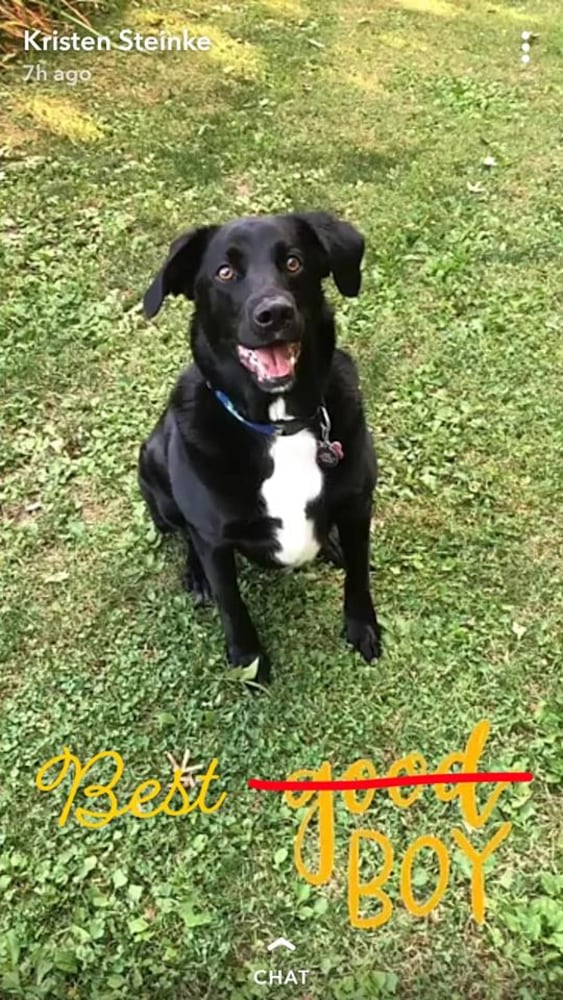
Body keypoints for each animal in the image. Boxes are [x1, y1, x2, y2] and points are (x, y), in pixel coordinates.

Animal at [138, 210, 382, 680]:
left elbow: (359, 576)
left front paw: (362, 627)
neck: (278, 426)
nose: (275, 313)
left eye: (293, 262)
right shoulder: (215, 541)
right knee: (183, 534)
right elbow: (232, 605)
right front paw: (248, 661)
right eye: (225, 272)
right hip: (154, 463)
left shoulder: (359, 505)